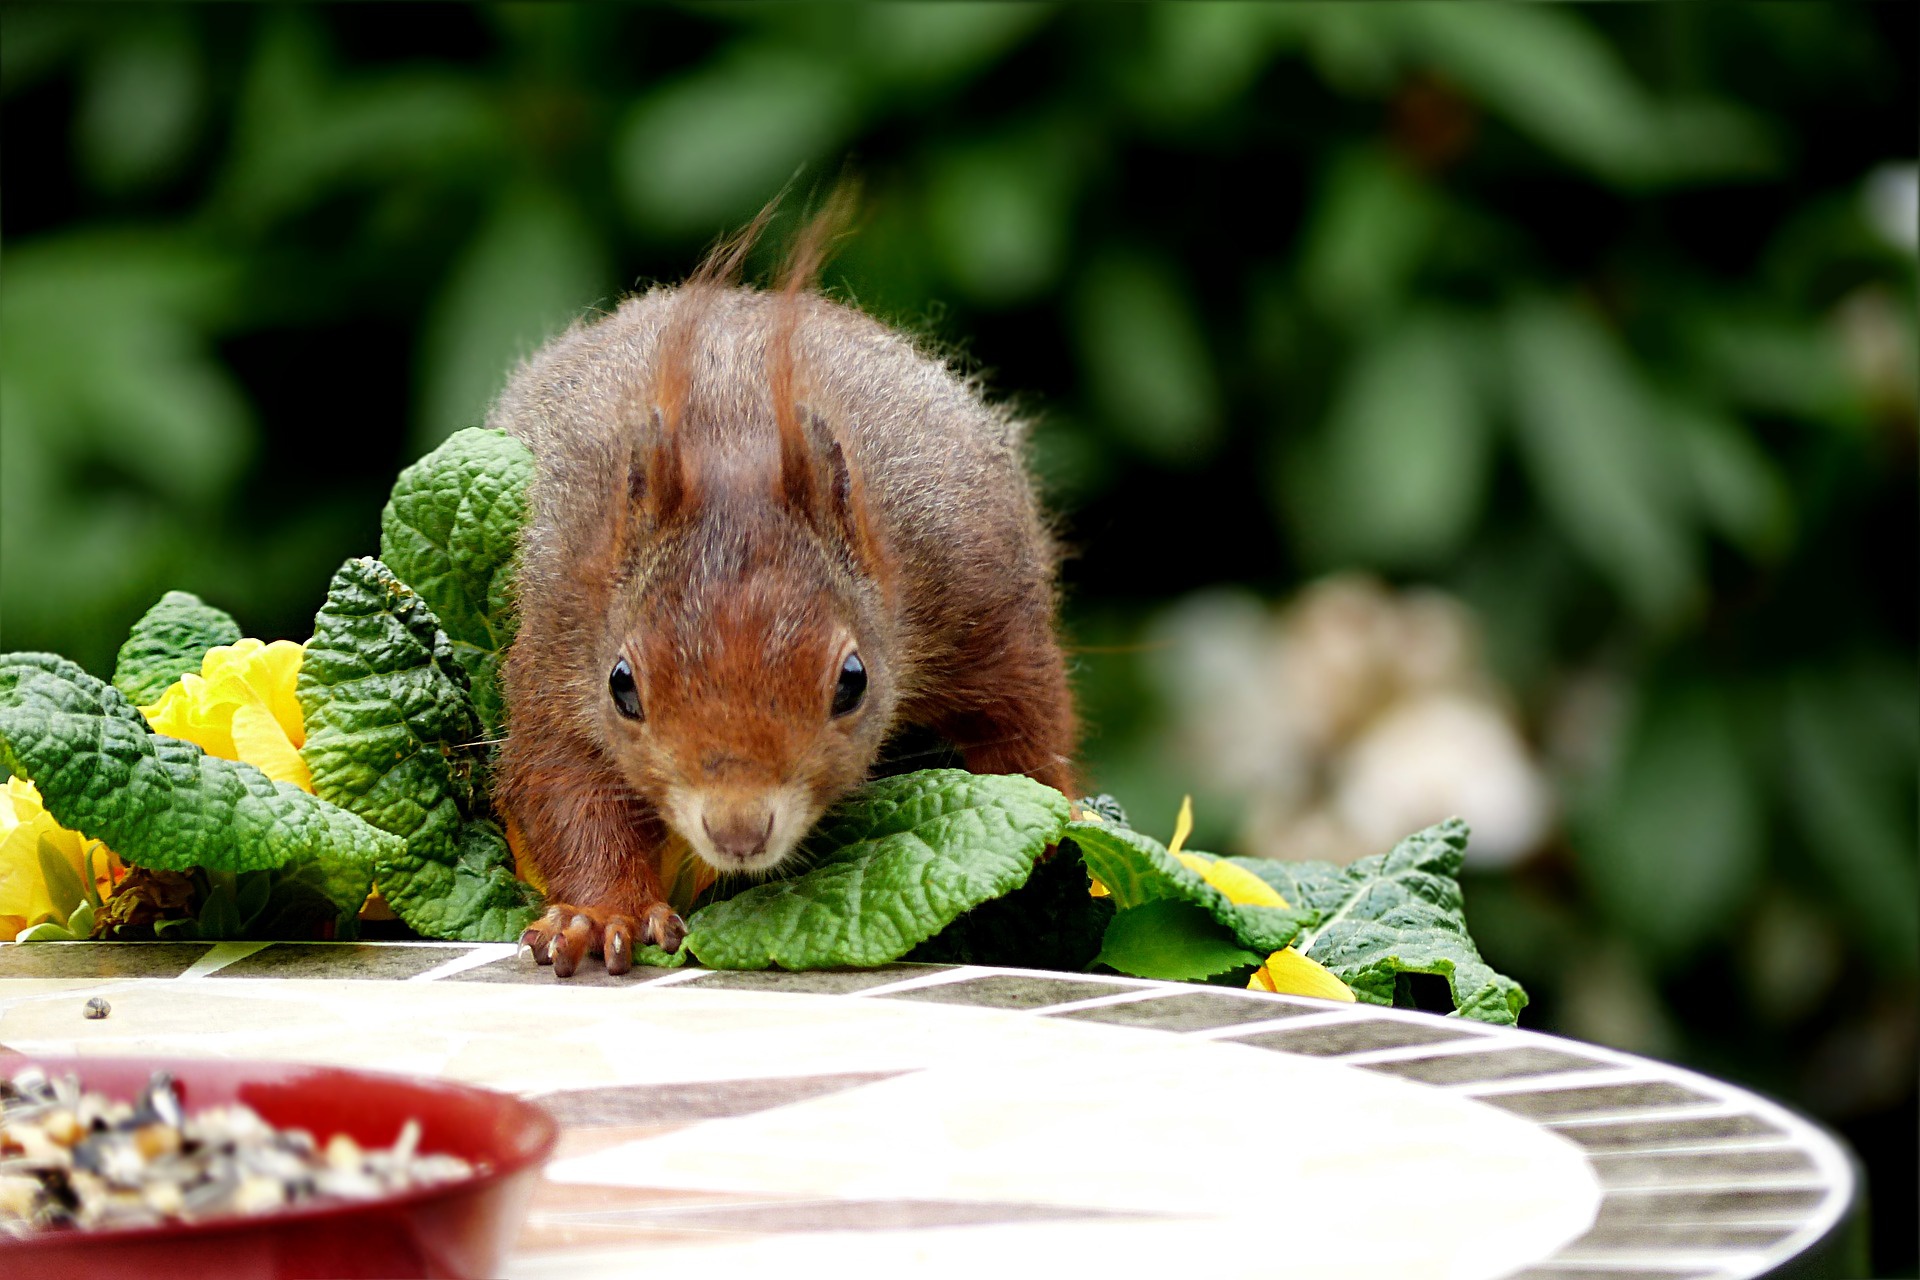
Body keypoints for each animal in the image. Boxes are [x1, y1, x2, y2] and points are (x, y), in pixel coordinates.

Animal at [487, 208, 1082, 982]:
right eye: (622, 686)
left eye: (853, 682)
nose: (738, 830)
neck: (736, 443)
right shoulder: (560, 626)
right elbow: (560, 778)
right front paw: (599, 913)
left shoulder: (974, 584)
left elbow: (1025, 725)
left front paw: (1053, 840)